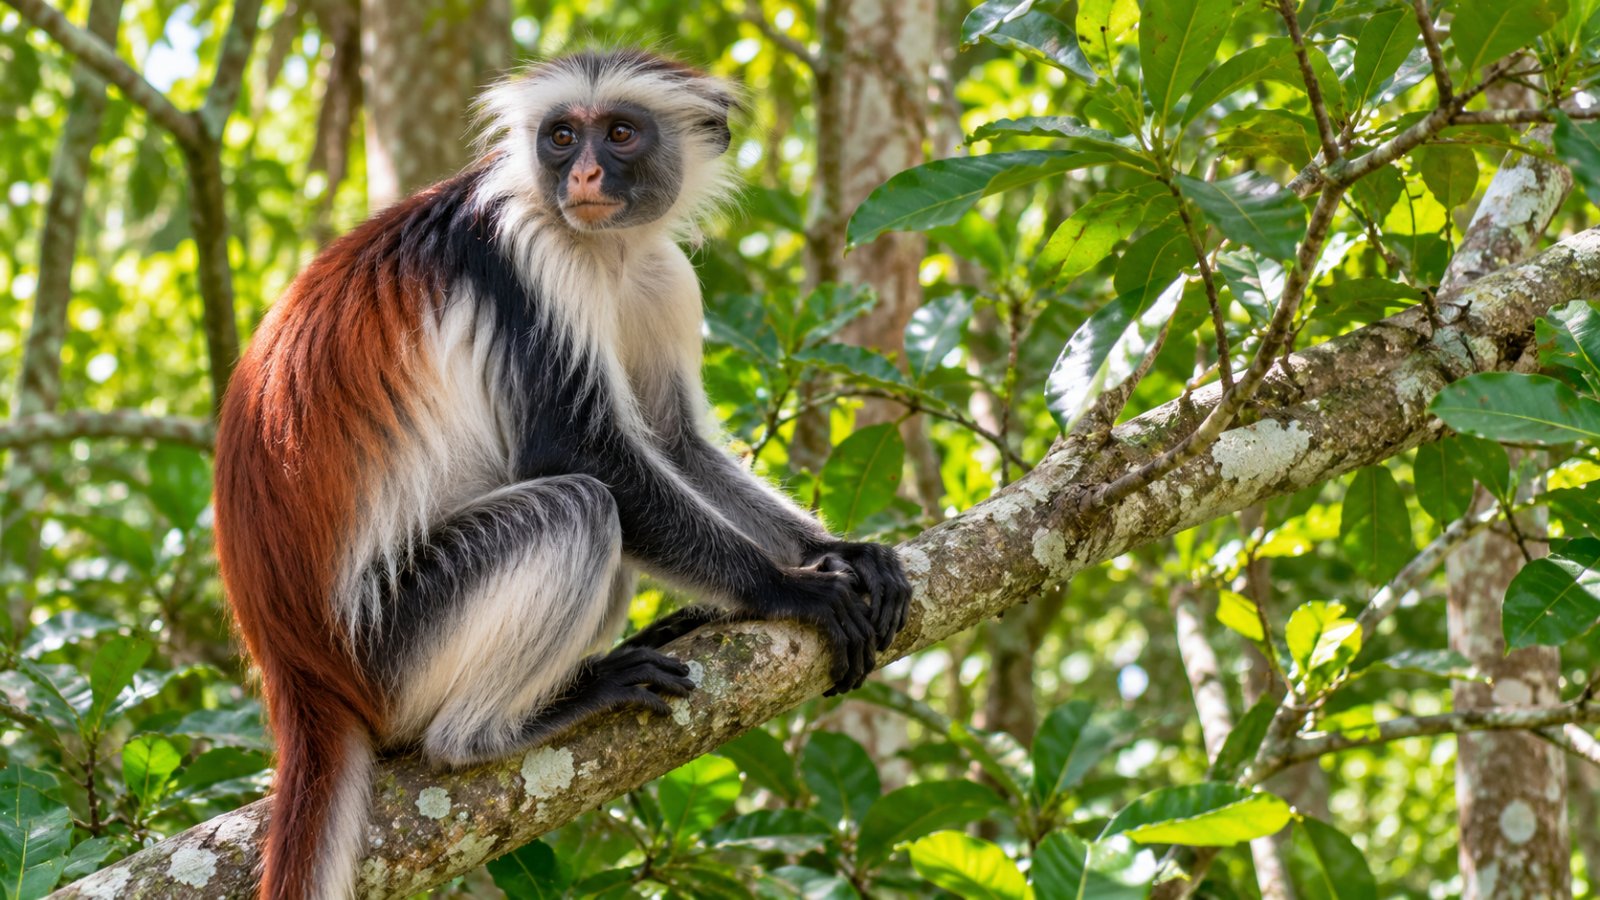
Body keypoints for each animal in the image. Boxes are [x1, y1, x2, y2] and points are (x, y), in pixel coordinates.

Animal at [212, 48, 913, 900]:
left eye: (620, 133)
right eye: (560, 137)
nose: (582, 174)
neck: (604, 251)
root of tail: (298, 674)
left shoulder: (659, 272)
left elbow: (677, 444)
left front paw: (839, 553)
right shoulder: (526, 254)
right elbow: (577, 454)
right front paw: (790, 589)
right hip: (390, 641)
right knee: (579, 505)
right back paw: (494, 731)